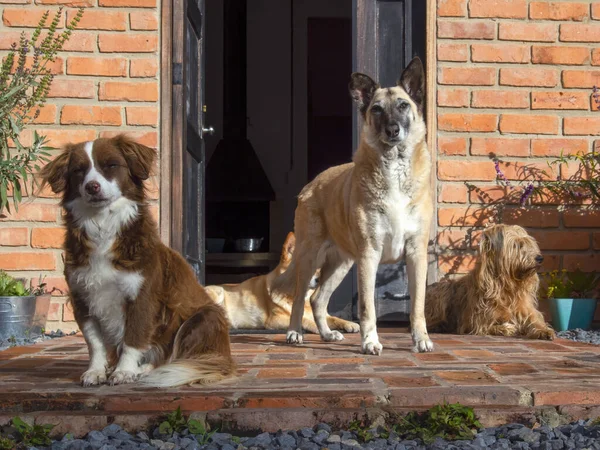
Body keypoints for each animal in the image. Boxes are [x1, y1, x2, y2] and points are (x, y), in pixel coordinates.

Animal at [39, 134, 236, 386]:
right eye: (78, 171)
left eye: (111, 165)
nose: (92, 187)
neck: (102, 226)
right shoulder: (82, 296)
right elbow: (94, 342)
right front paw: (95, 371)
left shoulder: (142, 294)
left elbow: (133, 337)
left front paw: (124, 371)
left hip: (204, 316)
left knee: (173, 357)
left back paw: (145, 369)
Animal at [205, 232, 360, 334]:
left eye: (319, 269)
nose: (318, 280)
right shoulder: (275, 320)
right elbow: (303, 320)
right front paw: (318, 327)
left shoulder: (325, 315)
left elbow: (334, 318)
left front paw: (349, 324)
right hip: (217, 293)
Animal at [274, 57, 434, 356]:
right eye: (377, 109)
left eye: (403, 105)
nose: (393, 130)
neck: (394, 167)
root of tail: (311, 183)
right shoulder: (369, 256)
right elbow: (367, 307)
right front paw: (370, 341)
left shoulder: (416, 253)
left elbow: (418, 304)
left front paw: (421, 339)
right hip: (310, 256)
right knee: (301, 297)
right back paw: (294, 333)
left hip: (341, 263)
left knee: (317, 298)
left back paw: (327, 334)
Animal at [424, 223, 556, 340]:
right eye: (517, 245)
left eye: (529, 244)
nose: (540, 258)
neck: (506, 286)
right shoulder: (475, 321)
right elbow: (487, 326)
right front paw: (507, 328)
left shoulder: (526, 309)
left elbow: (535, 320)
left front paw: (544, 331)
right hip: (442, 291)